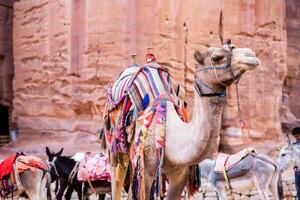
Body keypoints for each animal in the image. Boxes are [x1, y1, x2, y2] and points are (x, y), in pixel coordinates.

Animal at [108, 39, 260, 199]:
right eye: (217, 57)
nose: (250, 54)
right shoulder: (144, 172)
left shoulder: (180, 175)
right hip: (116, 151)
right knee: (116, 180)